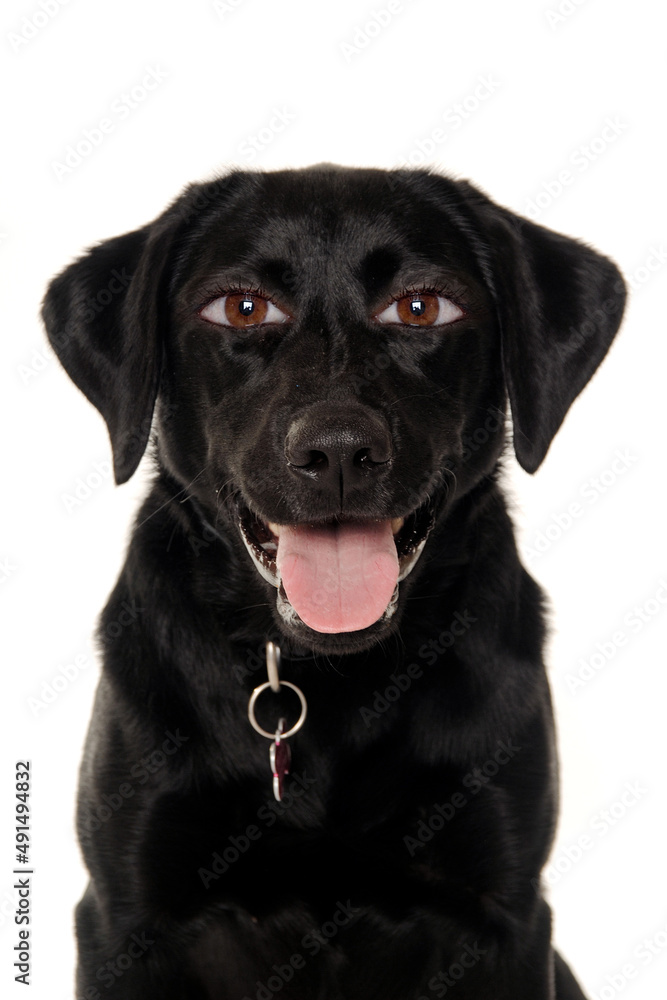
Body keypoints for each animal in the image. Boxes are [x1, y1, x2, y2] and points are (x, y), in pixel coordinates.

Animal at [45, 168, 628, 996]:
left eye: (421, 306)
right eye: (241, 306)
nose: (339, 451)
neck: (331, 684)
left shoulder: (502, 917)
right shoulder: (125, 918)